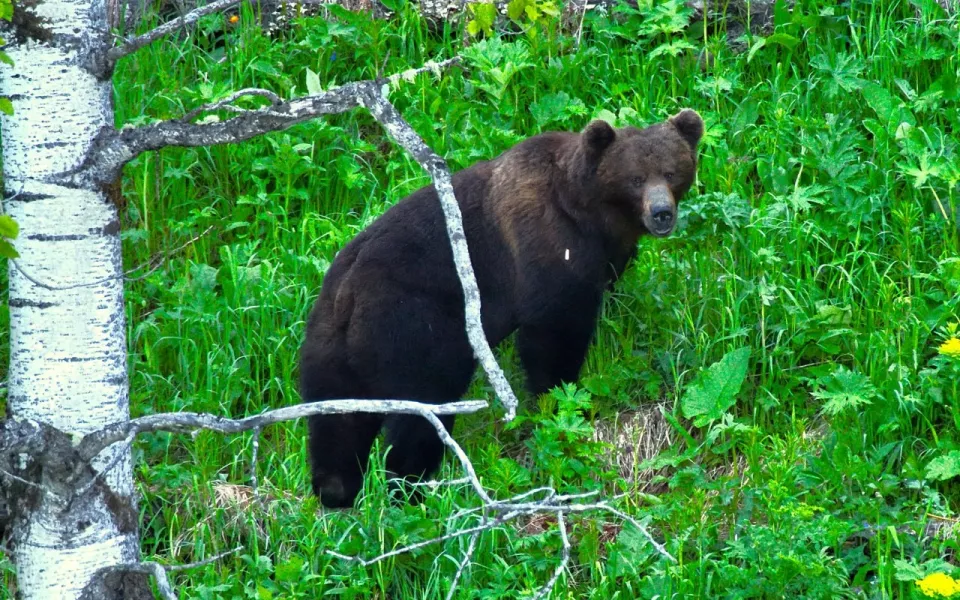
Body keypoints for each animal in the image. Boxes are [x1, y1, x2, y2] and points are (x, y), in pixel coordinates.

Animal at [296, 108, 700, 506]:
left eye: (671, 172)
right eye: (635, 179)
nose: (662, 213)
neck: (589, 214)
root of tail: (348, 295)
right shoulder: (547, 248)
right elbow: (554, 334)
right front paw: (561, 400)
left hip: (328, 347)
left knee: (337, 425)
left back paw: (337, 492)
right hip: (413, 330)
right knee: (424, 411)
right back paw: (413, 486)